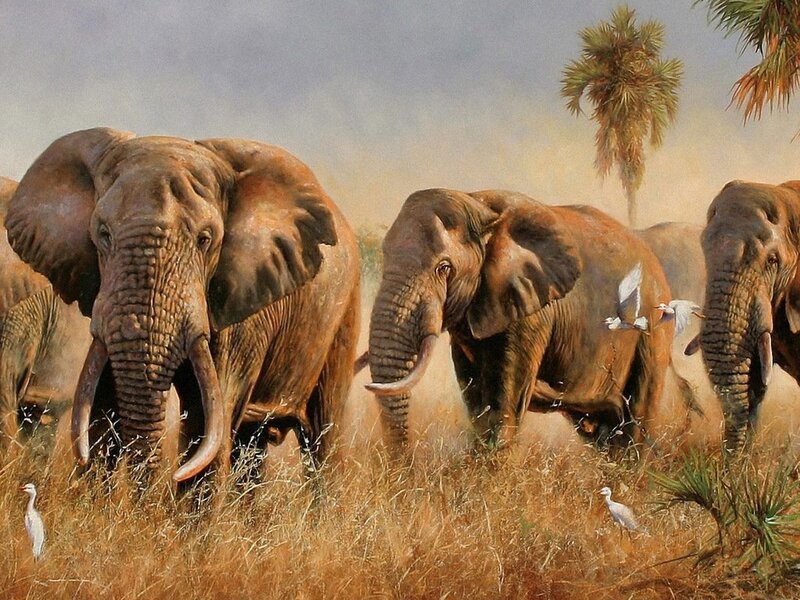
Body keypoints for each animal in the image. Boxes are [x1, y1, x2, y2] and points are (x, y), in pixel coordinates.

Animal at [366, 188, 675, 451]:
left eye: (443, 268)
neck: (476, 203)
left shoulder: (531, 315)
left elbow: (501, 405)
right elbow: (476, 402)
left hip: (652, 330)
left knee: (635, 422)